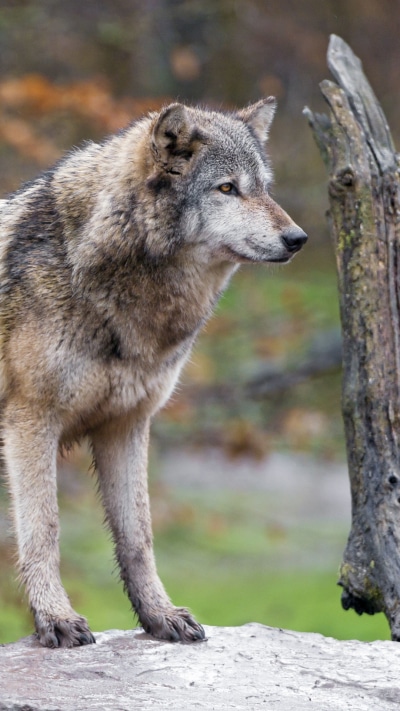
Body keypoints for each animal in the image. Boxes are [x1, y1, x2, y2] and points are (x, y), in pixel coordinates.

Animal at [0, 98, 307, 647]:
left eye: (263, 188)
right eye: (227, 188)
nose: (298, 238)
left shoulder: (127, 423)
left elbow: (138, 537)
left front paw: (159, 615)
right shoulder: (30, 422)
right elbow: (44, 529)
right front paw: (55, 619)